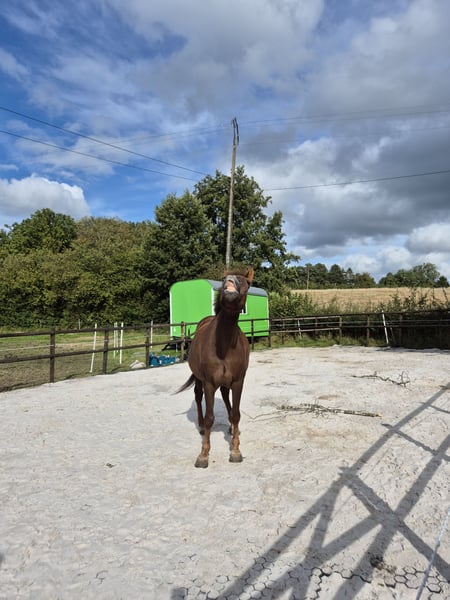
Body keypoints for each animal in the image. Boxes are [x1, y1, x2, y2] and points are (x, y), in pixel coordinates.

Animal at [178, 268, 254, 468]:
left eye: (246, 281)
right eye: (223, 278)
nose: (230, 281)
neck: (224, 345)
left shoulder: (238, 381)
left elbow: (236, 414)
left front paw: (235, 450)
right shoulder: (209, 383)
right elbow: (210, 417)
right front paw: (203, 455)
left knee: (226, 398)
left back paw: (231, 427)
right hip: (198, 378)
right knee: (198, 397)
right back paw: (201, 426)